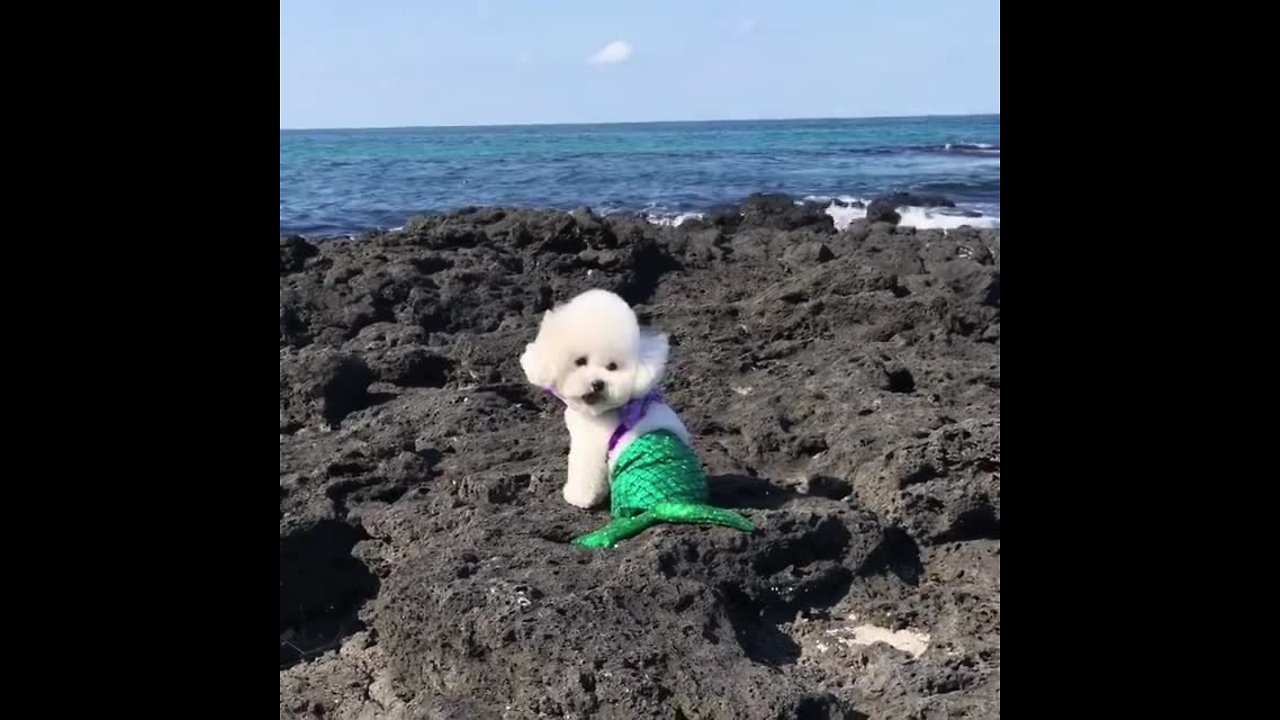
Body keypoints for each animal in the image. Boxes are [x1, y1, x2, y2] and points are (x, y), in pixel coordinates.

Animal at [519, 288, 696, 507]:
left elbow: (585, 475)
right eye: (580, 361)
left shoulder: (590, 445)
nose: (598, 383)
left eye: (612, 367)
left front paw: (578, 498)